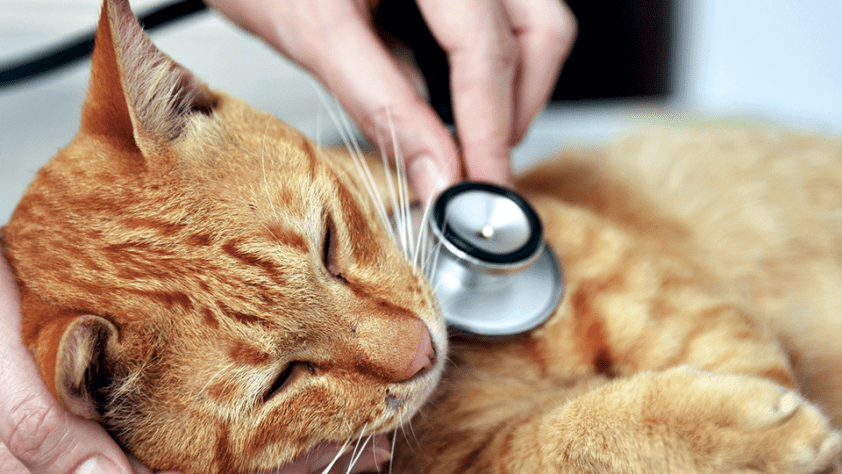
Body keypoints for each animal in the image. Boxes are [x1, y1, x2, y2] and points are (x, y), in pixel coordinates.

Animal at [1, 0, 840, 474]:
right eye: (283, 380)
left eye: (329, 244)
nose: (423, 350)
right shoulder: (476, 462)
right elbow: (575, 435)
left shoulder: (660, 296)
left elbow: (732, 356)